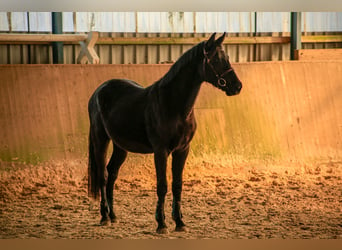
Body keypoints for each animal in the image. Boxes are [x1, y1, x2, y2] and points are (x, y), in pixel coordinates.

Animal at [88, 32, 243, 233]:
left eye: (227, 58)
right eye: (216, 59)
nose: (237, 86)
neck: (173, 105)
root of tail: (98, 91)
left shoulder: (182, 150)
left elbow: (177, 185)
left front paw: (179, 222)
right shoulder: (160, 151)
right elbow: (162, 185)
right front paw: (161, 224)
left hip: (120, 146)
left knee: (112, 173)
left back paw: (113, 216)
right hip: (101, 140)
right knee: (102, 176)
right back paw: (104, 217)